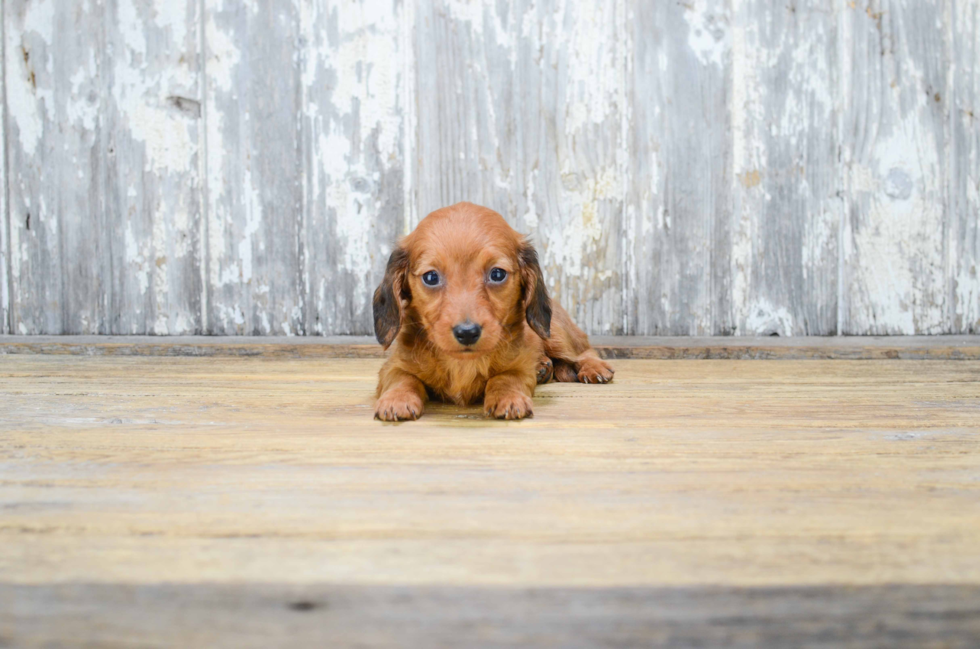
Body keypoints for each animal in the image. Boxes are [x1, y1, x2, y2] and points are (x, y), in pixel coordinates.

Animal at [376, 200, 612, 420]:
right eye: (431, 277)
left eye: (497, 274)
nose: (467, 333)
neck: (462, 363)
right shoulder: (394, 365)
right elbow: (401, 378)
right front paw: (396, 399)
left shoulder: (519, 366)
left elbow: (505, 377)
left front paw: (509, 398)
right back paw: (543, 367)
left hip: (555, 334)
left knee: (583, 351)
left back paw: (594, 368)